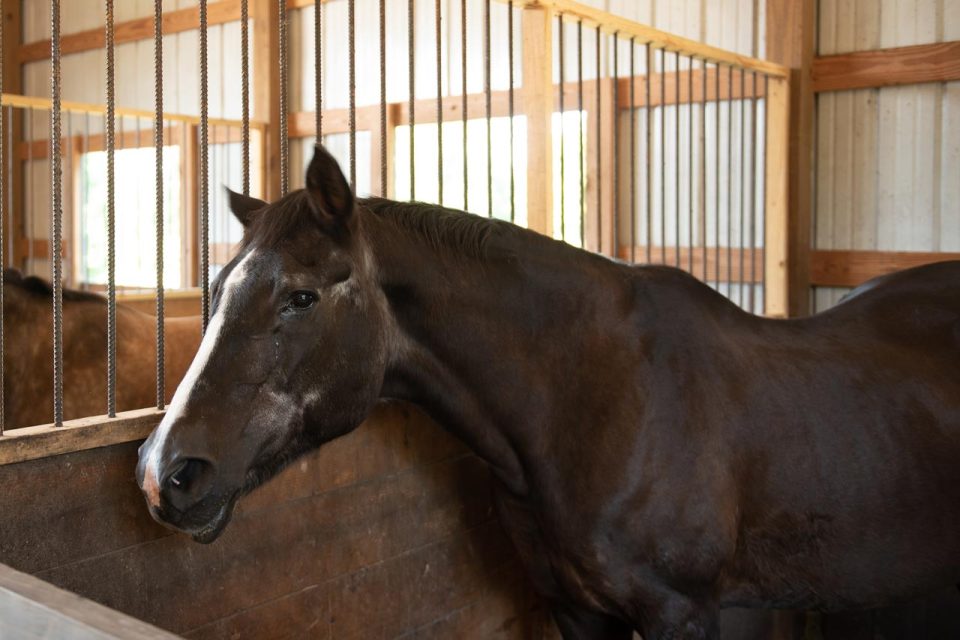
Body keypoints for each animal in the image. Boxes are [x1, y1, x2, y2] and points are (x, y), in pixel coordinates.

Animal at [135, 148, 960, 636]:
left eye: (300, 297)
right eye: (216, 289)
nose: (164, 472)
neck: (592, 404)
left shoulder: (685, 612)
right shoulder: (575, 609)